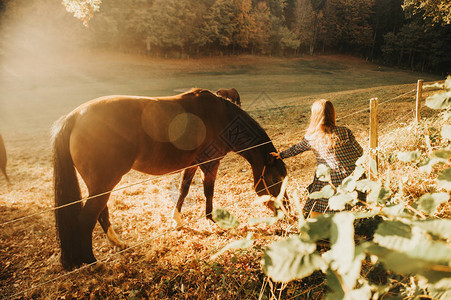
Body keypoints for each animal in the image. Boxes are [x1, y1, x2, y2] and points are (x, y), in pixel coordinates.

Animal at [52, 88, 286, 268]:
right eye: (275, 179)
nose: (285, 212)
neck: (221, 118)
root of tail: (75, 117)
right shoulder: (210, 164)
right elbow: (208, 191)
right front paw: (212, 219)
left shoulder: (193, 165)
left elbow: (184, 189)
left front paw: (178, 220)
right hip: (104, 184)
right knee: (86, 219)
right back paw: (92, 261)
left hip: (100, 185)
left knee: (101, 213)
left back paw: (116, 243)